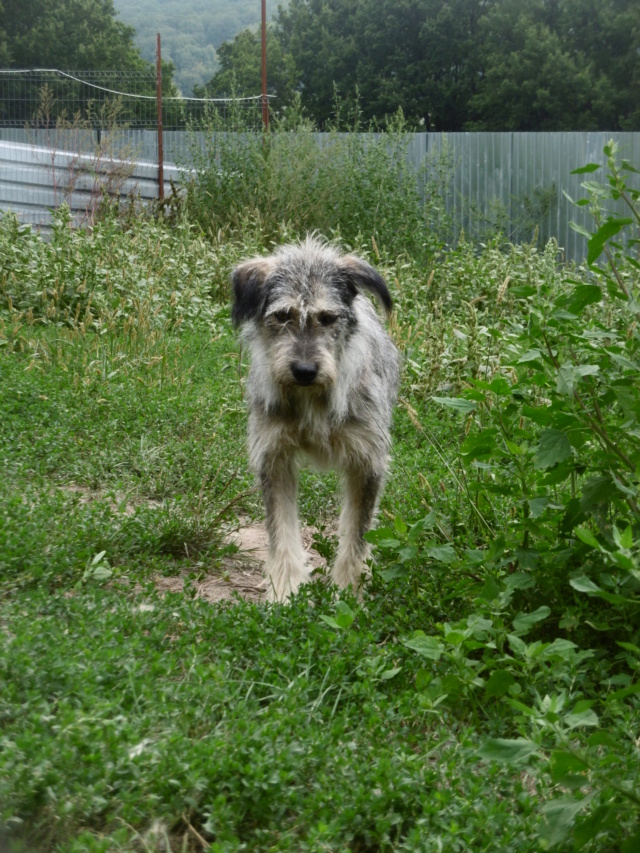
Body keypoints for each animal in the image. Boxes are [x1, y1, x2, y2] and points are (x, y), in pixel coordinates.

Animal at [232, 236, 398, 604]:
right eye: (283, 315)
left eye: (327, 317)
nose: (305, 371)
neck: (312, 400)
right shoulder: (274, 458)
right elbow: (281, 534)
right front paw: (284, 594)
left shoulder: (367, 462)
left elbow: (356, 538)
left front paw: (349, 595)